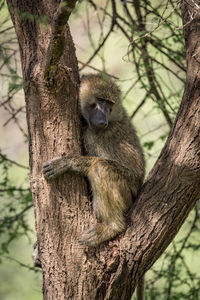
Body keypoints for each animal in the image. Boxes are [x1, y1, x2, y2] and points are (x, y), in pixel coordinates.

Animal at [43, 74, 145, 247]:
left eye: (110, 103)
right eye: (100, 100)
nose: (103, 120)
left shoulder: (95, 135)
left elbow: (131, 171)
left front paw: (66, 162)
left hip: (127, 196)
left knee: (101, 167)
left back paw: (112, 226)